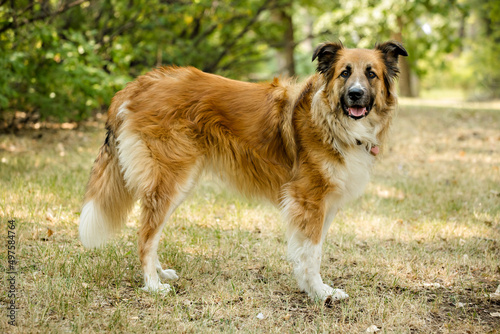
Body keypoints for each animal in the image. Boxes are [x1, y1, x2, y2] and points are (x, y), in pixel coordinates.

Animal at [78, 40, 406, 302]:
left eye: (371, 74)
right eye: (345, 73)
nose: (355, 94)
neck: (331, 120)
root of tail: (138, 84)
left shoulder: (323, 204)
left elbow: (308, 251)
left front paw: (310, 288)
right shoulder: (308, 199)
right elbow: (311, 253)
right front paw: (318, 292)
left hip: (178, 183)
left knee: (152, 233)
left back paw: (160, 273)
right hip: (170, 180)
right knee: (145, 236)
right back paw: (152, 285)